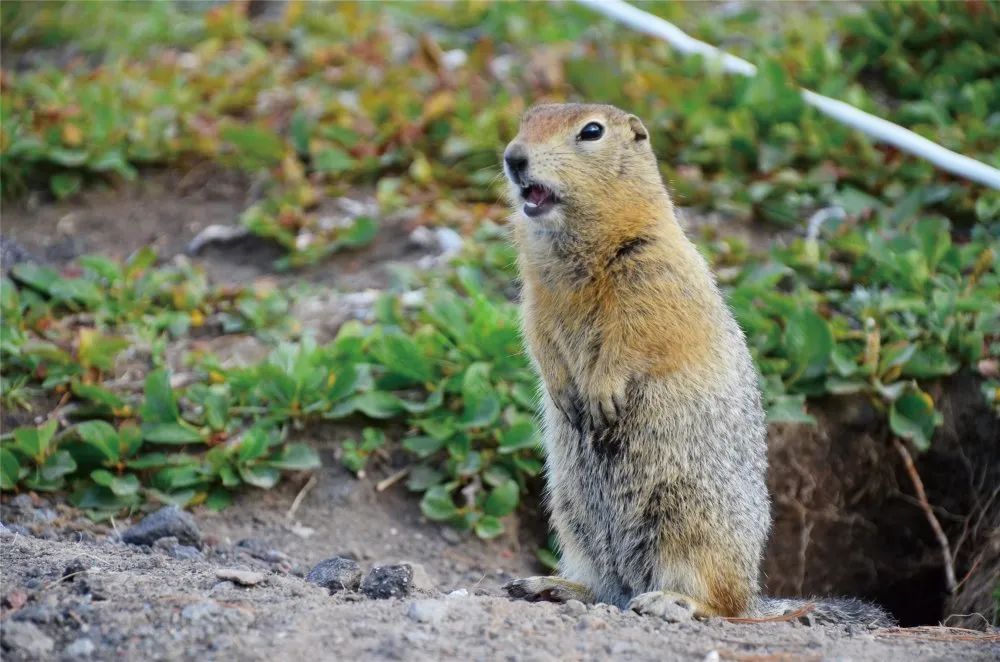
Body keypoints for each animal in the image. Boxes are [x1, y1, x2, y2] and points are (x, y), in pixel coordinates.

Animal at [498, 102, 892, 628]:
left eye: (591, 131)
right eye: (527, 119)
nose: (514, 157)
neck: (575, 252)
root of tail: (756, 595)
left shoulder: (652, 271)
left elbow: (636, 336)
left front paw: (601, 394)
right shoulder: (535, 296)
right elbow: (538, 337)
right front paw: (563, 391)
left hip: (691, 519)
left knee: (722, 605)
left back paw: (671, 600)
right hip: (571, 515)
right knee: (602, 586)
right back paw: (550, 585)